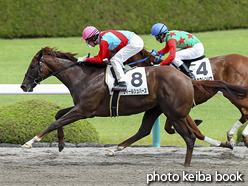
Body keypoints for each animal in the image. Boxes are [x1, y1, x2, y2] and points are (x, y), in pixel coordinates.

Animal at [20, 47, 248, 166]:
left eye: (31, 66)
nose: (23, 86)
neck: (84, 76)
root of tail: (187, 78)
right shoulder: (84, 110)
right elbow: (58, 115)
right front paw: (60, 144)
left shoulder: (84, 110)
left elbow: (54, 121)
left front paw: (30, 142)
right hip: (157, 108)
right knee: (144, 130)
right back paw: (115, 149)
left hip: (174, 111)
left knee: (190, 135)